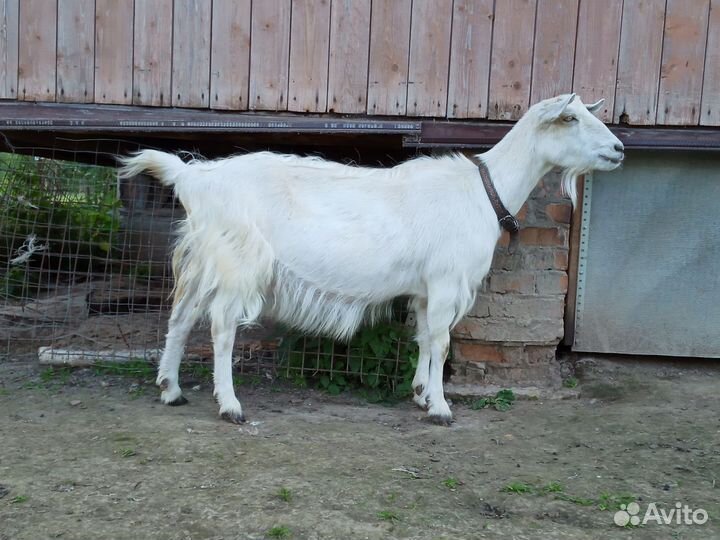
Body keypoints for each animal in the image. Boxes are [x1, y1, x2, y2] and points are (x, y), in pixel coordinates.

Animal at [118, 94, 624, 425]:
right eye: (571, 118)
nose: (618, 149)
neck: (484, 189)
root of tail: (195, 177)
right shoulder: (446, 281)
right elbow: (441, 342)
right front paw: (441, 408)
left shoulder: (426, 289)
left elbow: (423, 339)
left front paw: (420, 395)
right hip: (240, 260)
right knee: (222, 326)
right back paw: (230, 405)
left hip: (205, 257)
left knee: (181, 317)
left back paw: (171, 390)